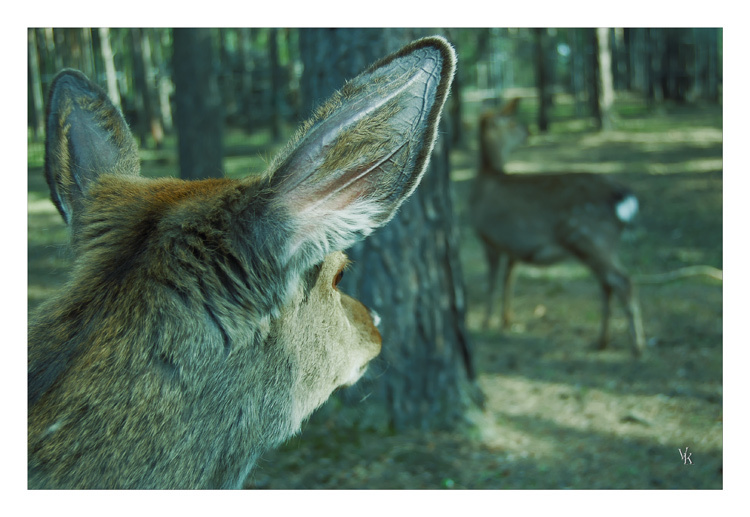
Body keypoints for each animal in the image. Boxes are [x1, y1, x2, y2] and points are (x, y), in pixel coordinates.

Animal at [470, 97, 646, 358]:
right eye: (511, 123)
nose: (528, 131)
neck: (485, 180)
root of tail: (625, 198)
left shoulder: (489, 238)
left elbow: (492, 284)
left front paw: (485, 324)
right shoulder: (511, 248)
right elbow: (508, 282)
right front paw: (505, 322)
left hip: (588, 236)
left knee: (623, 281)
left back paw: (637, 346)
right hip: (602, 243)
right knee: (608, 284)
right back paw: (602, 341)